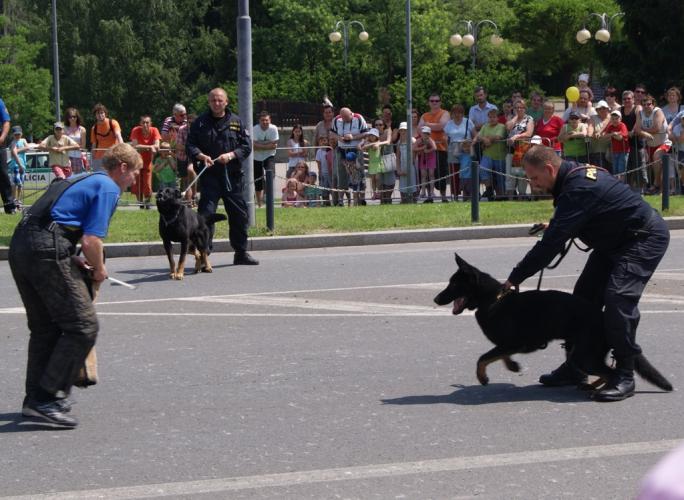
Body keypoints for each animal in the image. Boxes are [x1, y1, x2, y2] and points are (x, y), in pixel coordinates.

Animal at [436, 254, 672, 390]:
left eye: (453, 285)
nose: (436, 299)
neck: (492, 299)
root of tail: (604, 317)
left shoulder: (512, 343)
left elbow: (483, 358)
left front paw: (482, 377)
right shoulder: (509, 345)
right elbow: (498, 355)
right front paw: (512, 365)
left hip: (584, 356)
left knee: (610, 372)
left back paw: (604, 388)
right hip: (582, 353)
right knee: (605, 371)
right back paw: (593, 386)